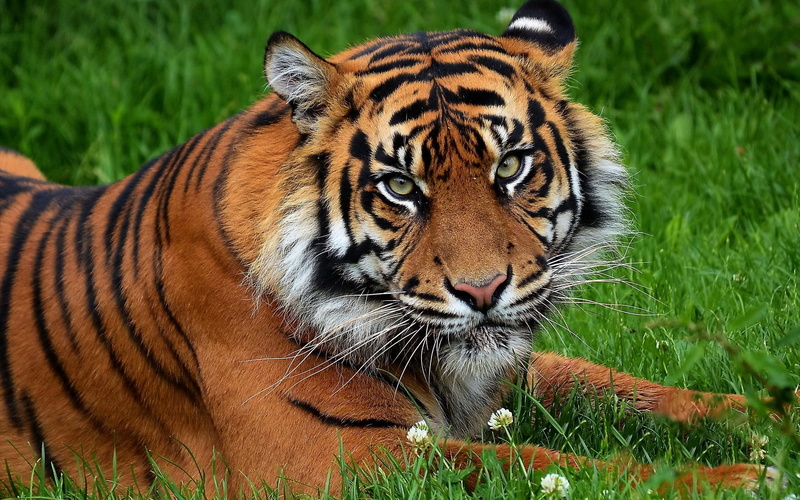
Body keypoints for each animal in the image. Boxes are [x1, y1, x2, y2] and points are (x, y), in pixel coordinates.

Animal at [0, 0, 787, 496]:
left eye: (511, 167)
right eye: (401, 187)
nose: (482, 291)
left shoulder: (501, 372)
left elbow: (631, 389)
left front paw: (778, 415)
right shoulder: (332, 455)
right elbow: (538, 464)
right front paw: (741, 480)